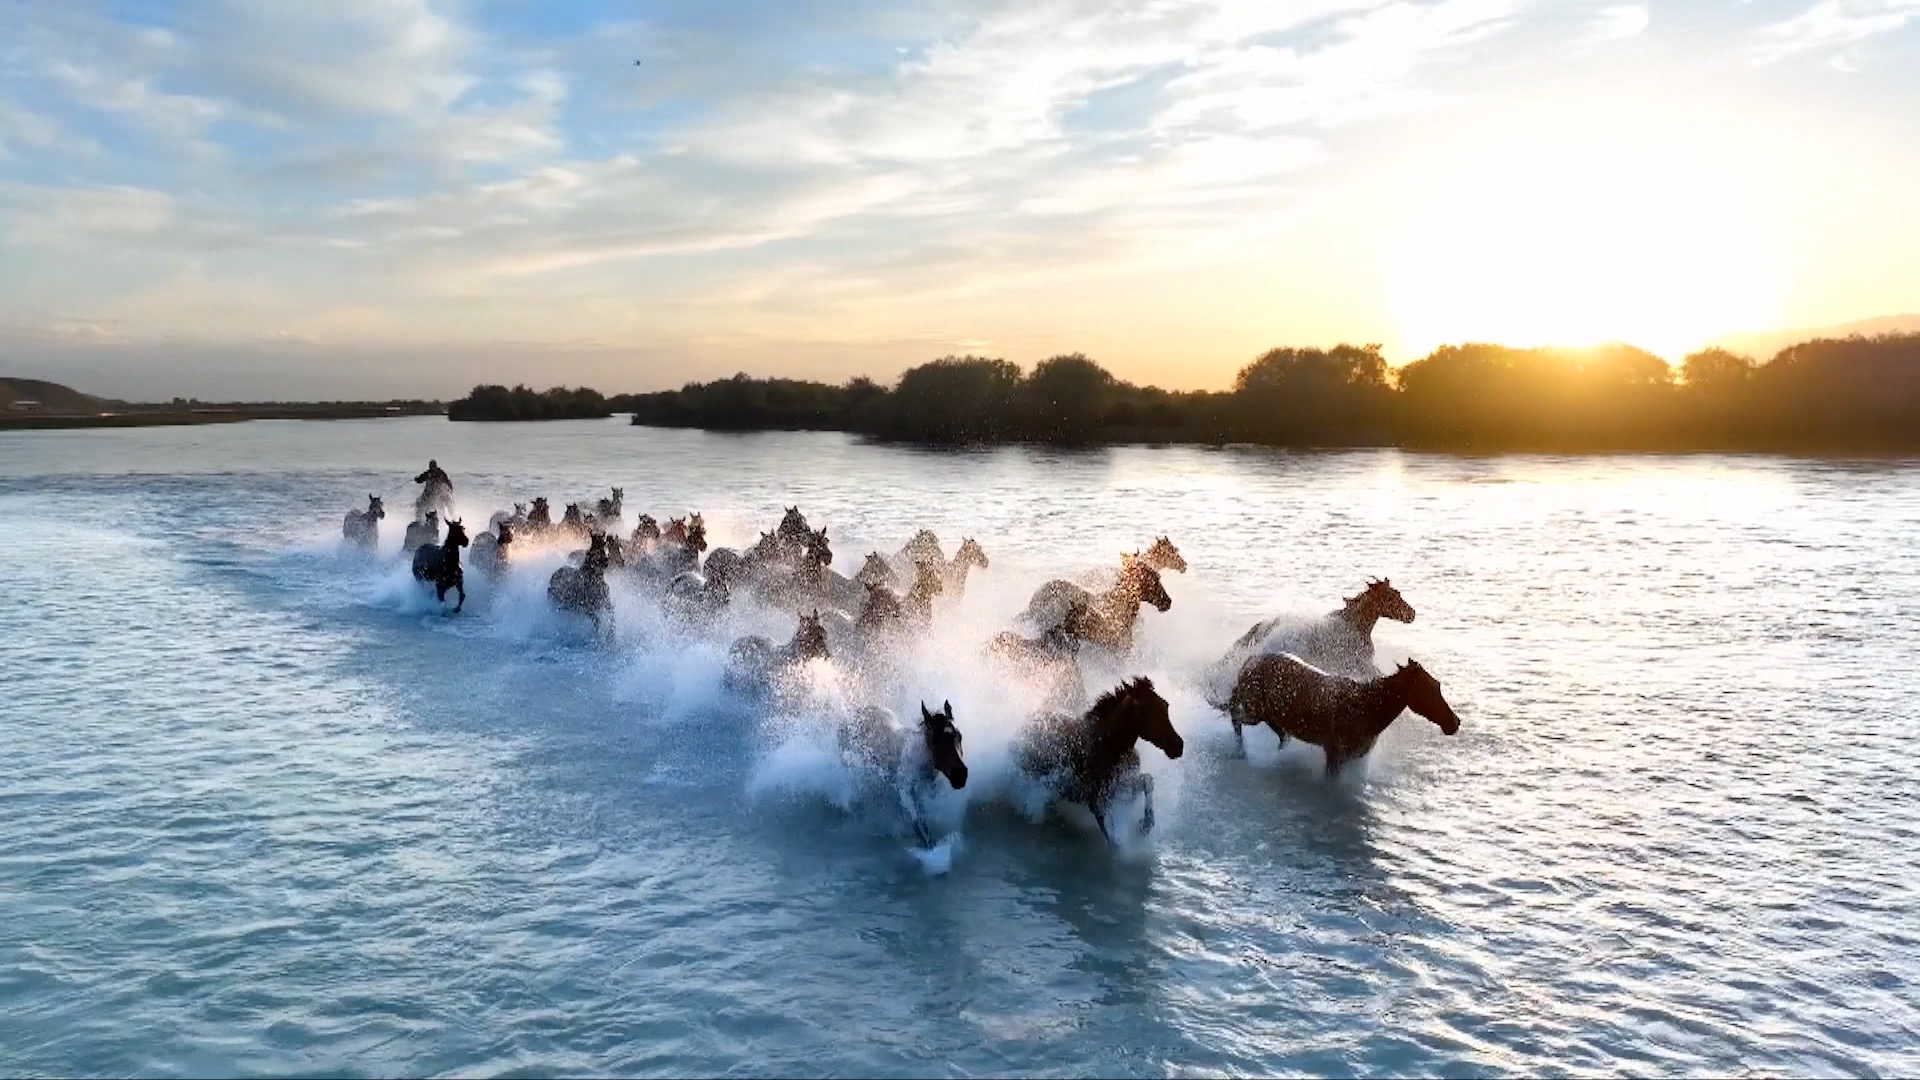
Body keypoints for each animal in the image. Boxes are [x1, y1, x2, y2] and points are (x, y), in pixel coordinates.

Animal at [837, 702, 969, 847]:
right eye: (935, 740)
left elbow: (921, 821)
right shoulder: (905, 791)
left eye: (959, 736)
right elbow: (918, 824)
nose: (960, 776)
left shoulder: (918, 794)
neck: (918, 759)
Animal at [1012, 677, 1184, 844]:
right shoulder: (1097, 801)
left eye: (1165, 705)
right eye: (1144, 710)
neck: (1108, 746)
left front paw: (1144, 825)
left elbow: (1147, 781)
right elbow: (1115, 840)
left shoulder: (1120, 784)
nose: (1178, 746)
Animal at [1223, 653, 1460, 776]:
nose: (1454, 722)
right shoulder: (1335, 755)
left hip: (1271, 715)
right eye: (1429, 690)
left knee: (1281, 734)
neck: (1369, 709)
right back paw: (1241, 751)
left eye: (1437, 686)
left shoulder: (1355, 757)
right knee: (1235, 714)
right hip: (1253, 711)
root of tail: (1248, 662)